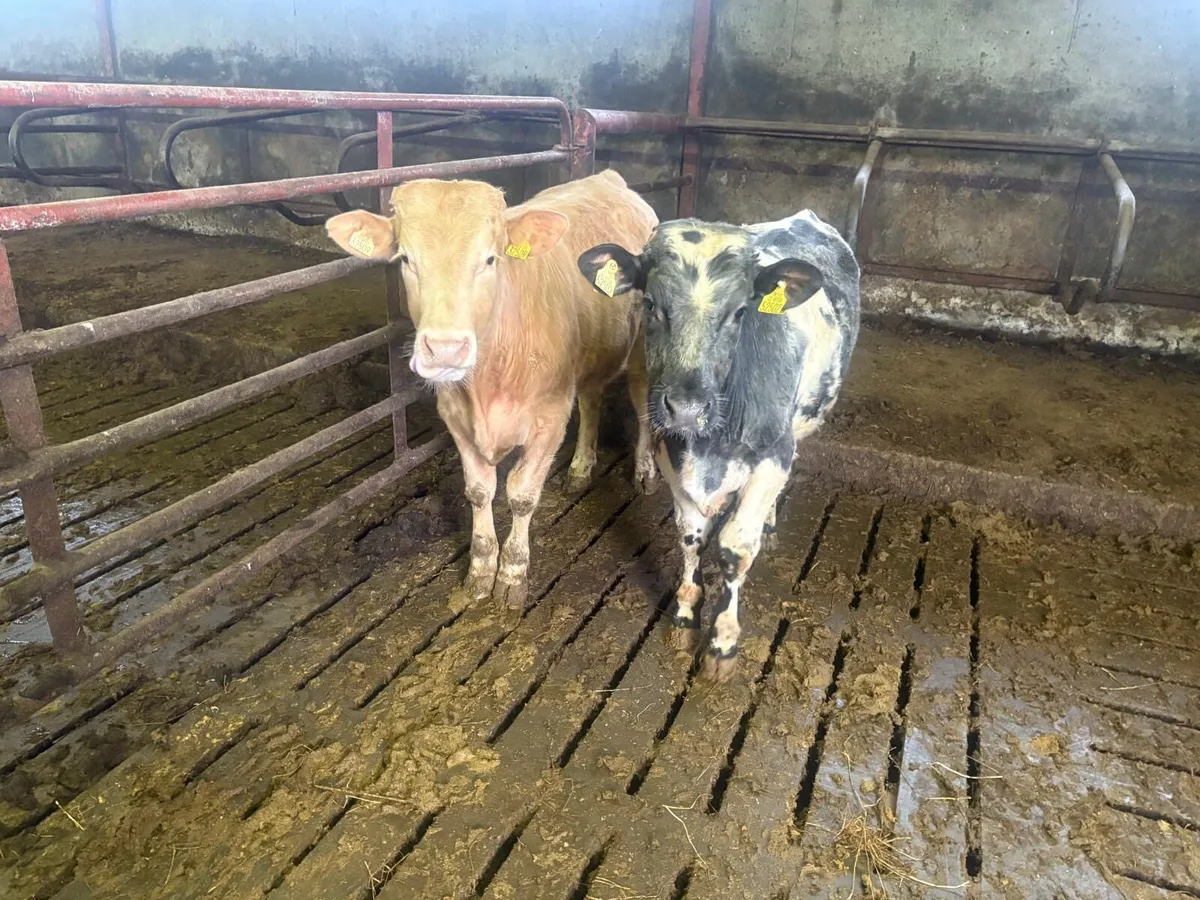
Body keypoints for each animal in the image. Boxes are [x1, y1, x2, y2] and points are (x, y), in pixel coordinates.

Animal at [325, 170, 658, 609]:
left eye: (489, 258)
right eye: (406, 260)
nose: (445, 349)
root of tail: (607, 178)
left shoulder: (549, 417)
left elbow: (521, 494)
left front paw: (513, 573)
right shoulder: (455, 415)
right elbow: (480, 491)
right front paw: (482, 569)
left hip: (641, 349)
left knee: (641, 404)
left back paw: (644, 470)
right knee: (591, 399)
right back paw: (581, 466)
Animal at [578, 210, 860, 680]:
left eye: (741, 311)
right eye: (650, 304)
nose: (687, 409)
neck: (708, 445)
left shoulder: (772, 457)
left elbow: (734, 550)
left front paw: (723, 642)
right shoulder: (670, 455)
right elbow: (691, 538)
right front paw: (685, 617)